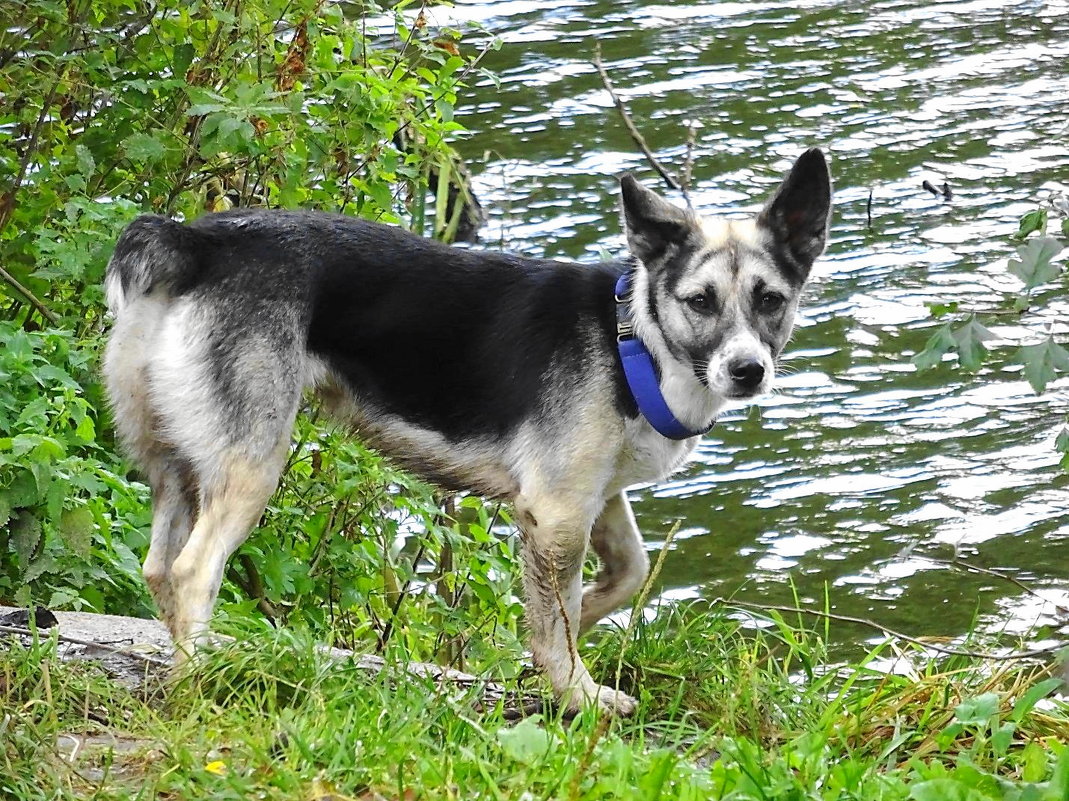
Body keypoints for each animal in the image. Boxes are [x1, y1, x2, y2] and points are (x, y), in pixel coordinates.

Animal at [104, 148, 829, 714]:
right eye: (700, 301)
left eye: (770, 300)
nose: (748, 370)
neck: (633, 338)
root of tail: (195, 244)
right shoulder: (558, 511)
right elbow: (558, 617)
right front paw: (575, 690)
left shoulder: (594, 498)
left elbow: (624, 573)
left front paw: (551, 637)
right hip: (252, 463)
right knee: (194, 571)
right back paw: (202, 687)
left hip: (176, 462)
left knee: (159, 568)